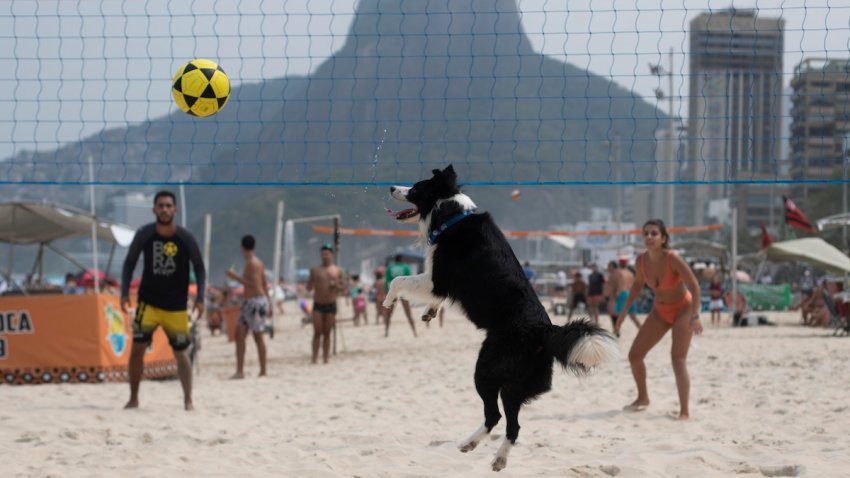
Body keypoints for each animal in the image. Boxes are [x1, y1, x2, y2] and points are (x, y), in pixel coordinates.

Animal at [384, 167, 616, 470]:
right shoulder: (441, 285)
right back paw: (496, 457)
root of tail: (545, 330)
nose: (391, 187)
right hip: (515, 386)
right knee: (513, 425)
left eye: (415, 188)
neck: (451, 215)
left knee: (494, 415)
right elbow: (433, 298)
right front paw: (429, 311)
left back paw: (472, 444)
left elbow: (399, 281)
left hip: (486, 370)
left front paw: (388, 300)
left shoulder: (438, 279)